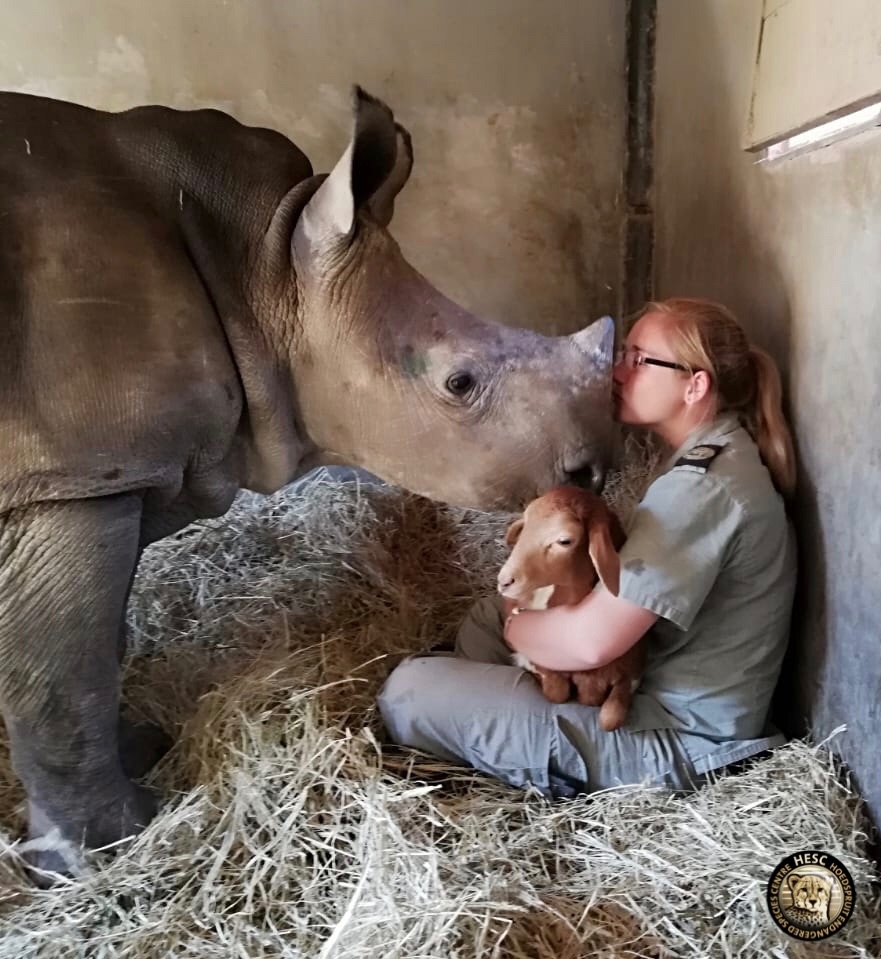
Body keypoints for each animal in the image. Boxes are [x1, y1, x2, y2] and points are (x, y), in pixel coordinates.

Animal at [0, 85, 615, 881]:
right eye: (458, 382)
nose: (593, 471)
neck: (260, 260)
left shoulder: (114, 472)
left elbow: (95, 642)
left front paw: (139, 752)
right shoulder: (73, 474)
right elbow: (63, 673)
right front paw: (104, 851)